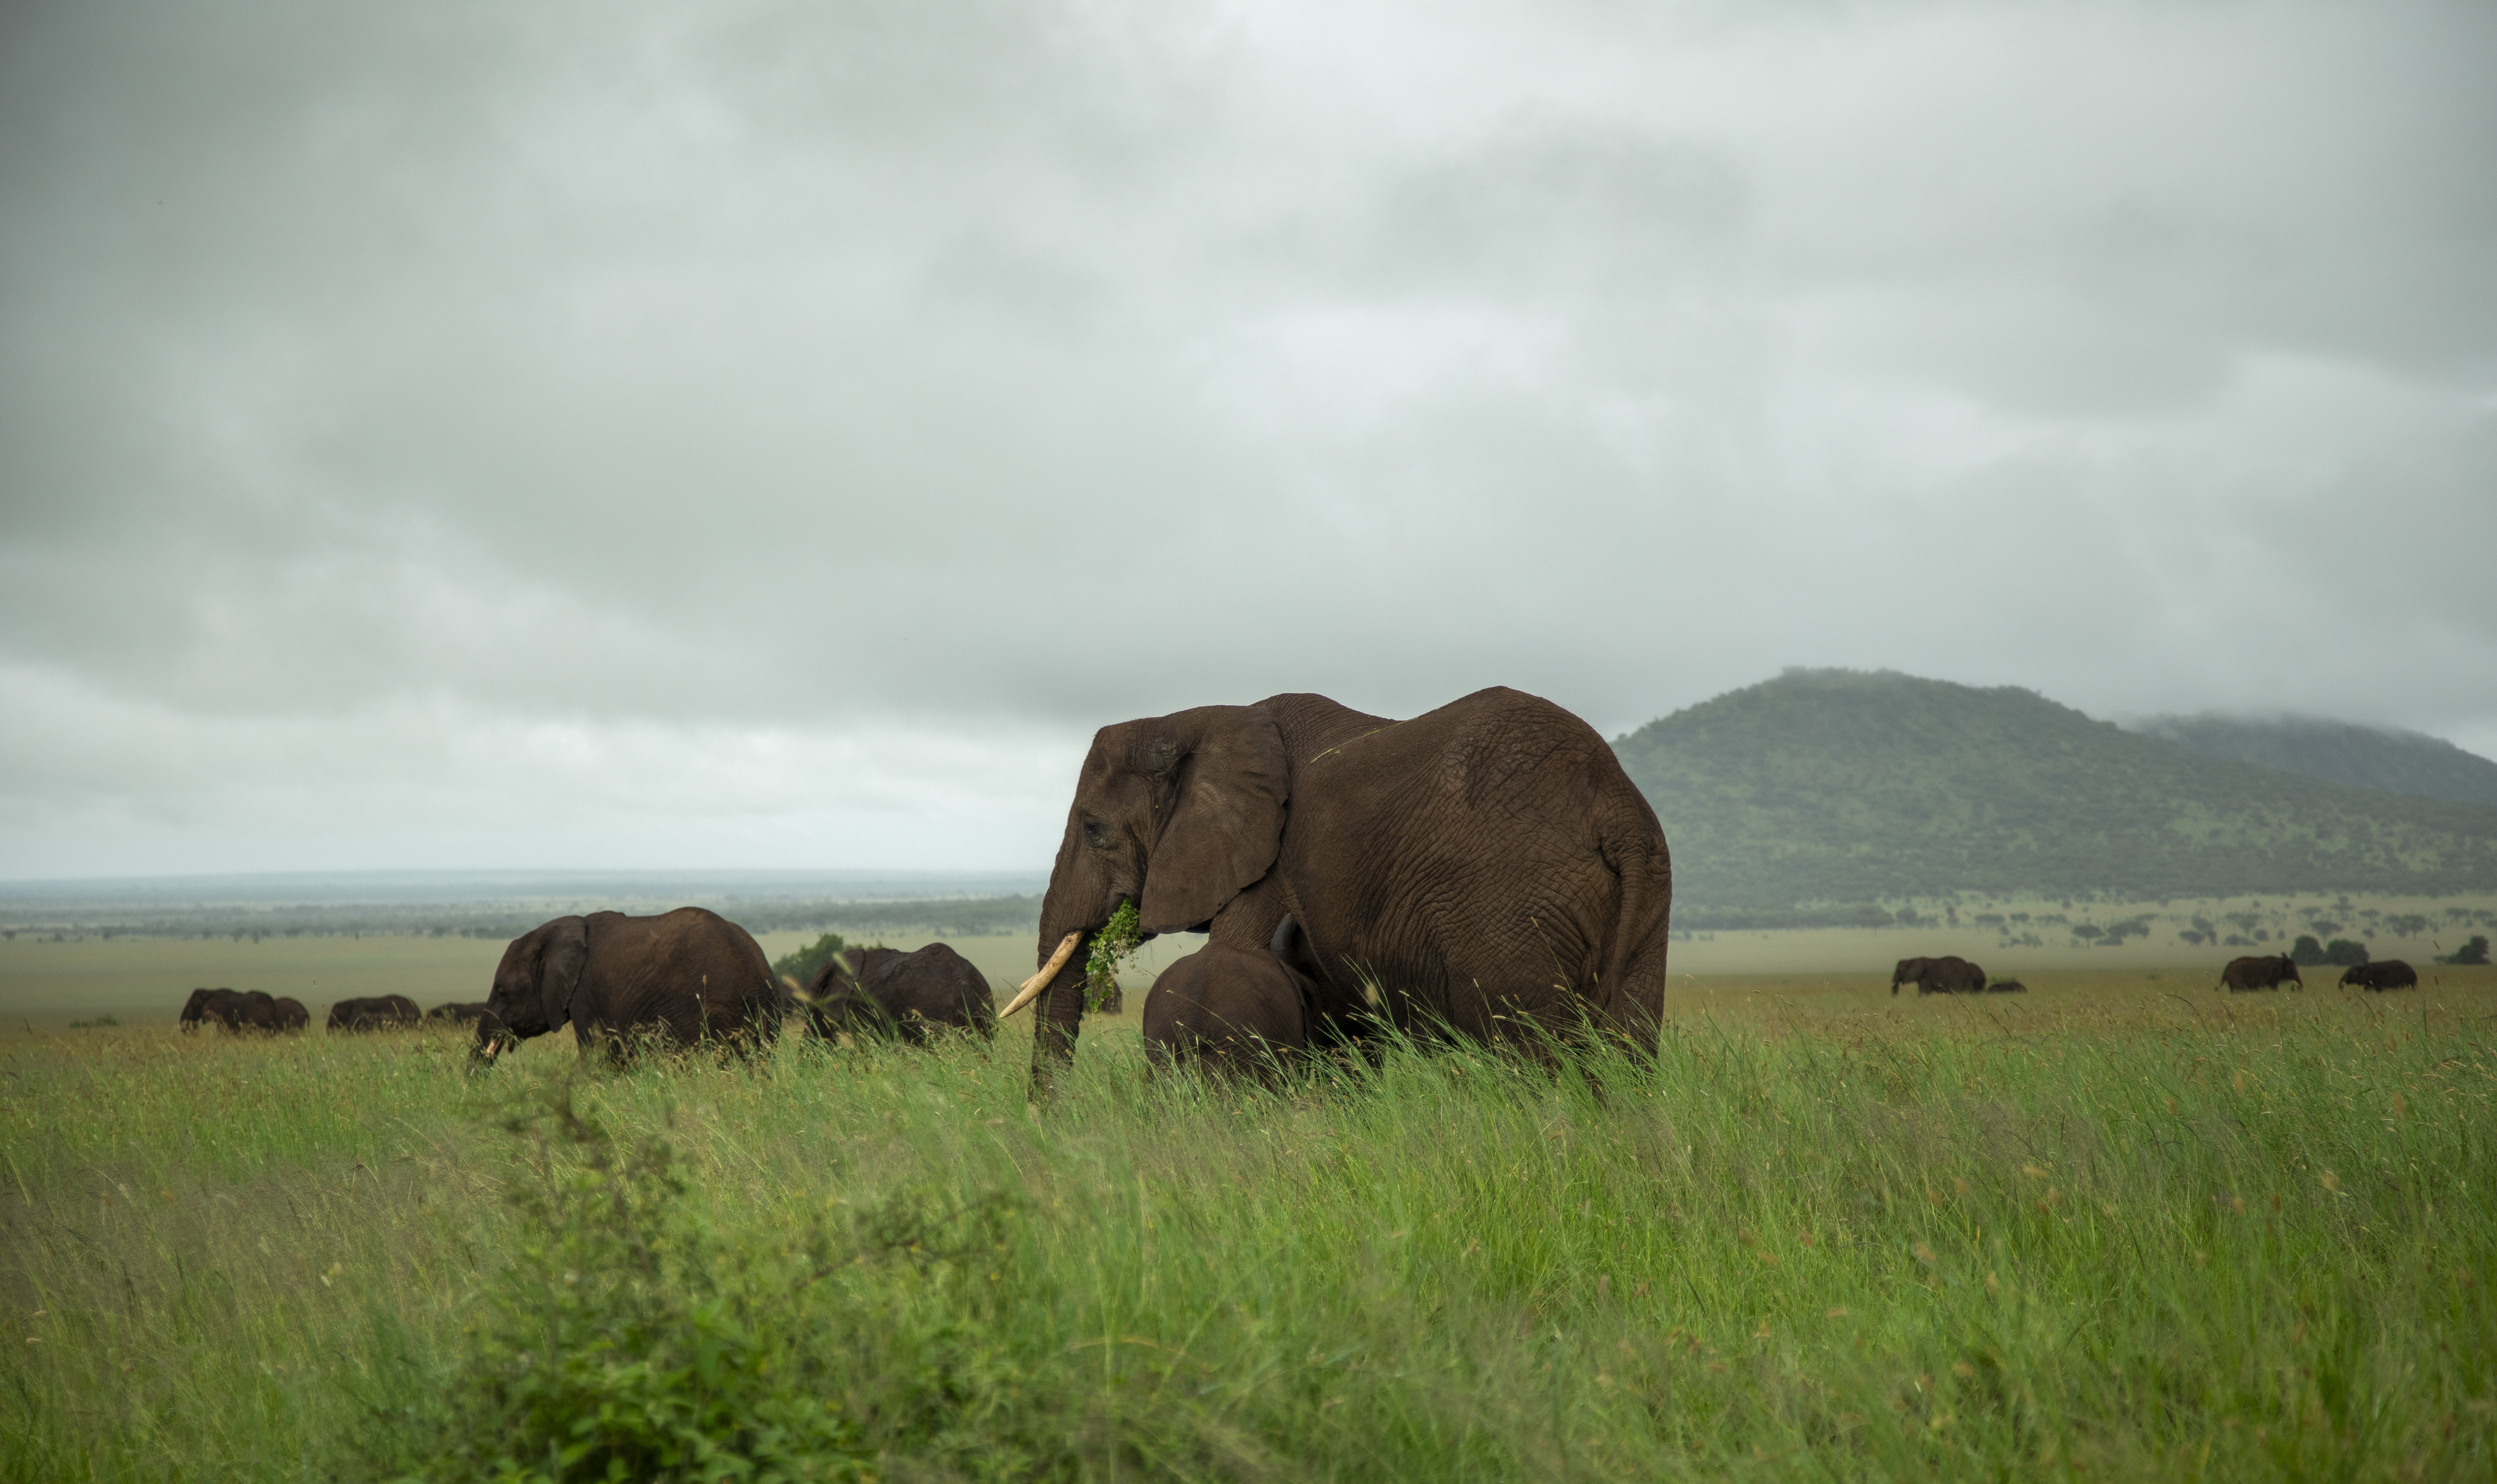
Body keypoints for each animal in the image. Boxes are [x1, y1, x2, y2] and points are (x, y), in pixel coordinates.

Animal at [2220, 955, 2302, 992]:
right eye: (2292, 971)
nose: (2298, 988)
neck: (2281, 960)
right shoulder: (2273, 976)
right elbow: (2274, 987)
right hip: (2236, 978)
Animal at [2341, 960, 2418, 992]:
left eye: (2355, 973)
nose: (2342, 991)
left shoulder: (2378, 980)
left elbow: (2379, 990)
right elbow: (2367, 989)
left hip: (2410, 980)